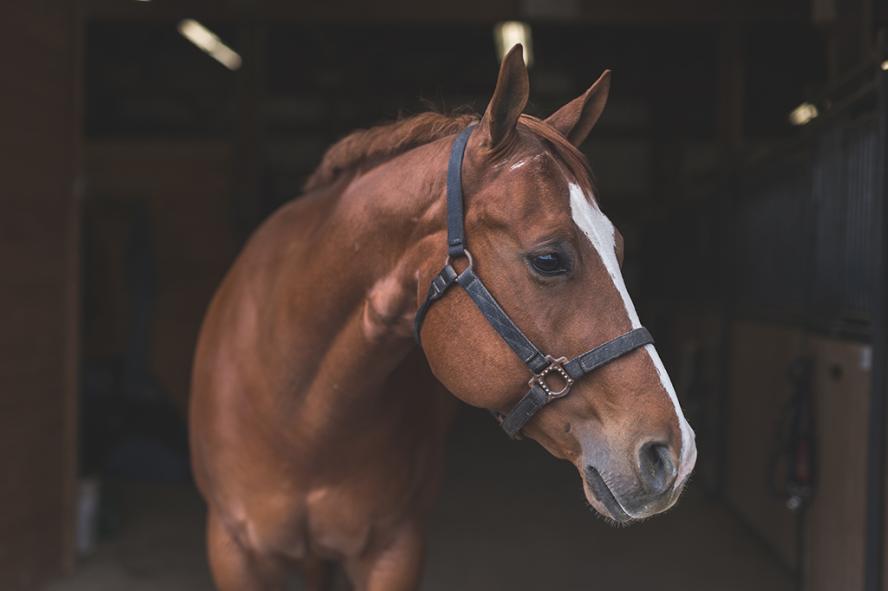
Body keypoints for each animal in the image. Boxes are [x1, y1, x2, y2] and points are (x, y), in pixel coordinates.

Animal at [191, 47, 696, 591]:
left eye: (619, 248)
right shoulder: (234, 551)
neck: (302, 415)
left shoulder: (396, 548)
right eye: (548, 259)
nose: (675, 453)